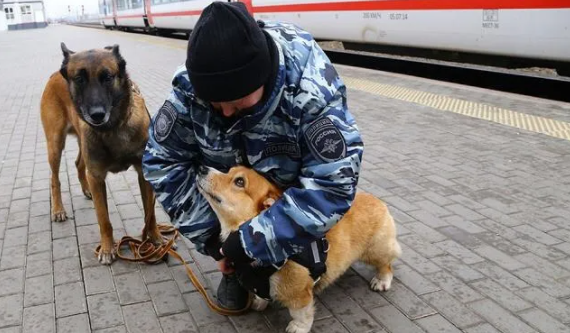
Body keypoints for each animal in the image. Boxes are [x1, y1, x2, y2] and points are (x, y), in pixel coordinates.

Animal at [39, 42, 162, 264]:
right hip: (55, 144)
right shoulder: (97, 177)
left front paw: (154, 238)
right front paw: (107, 249)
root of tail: (54, 75)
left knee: (79, 164)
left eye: (107, 77)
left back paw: (85, 190)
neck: (113, 128)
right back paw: (58, 209)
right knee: (54, 178)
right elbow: (103, 219)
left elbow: (150, 213)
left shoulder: (143, 175)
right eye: (79, 79)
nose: (97, 115)